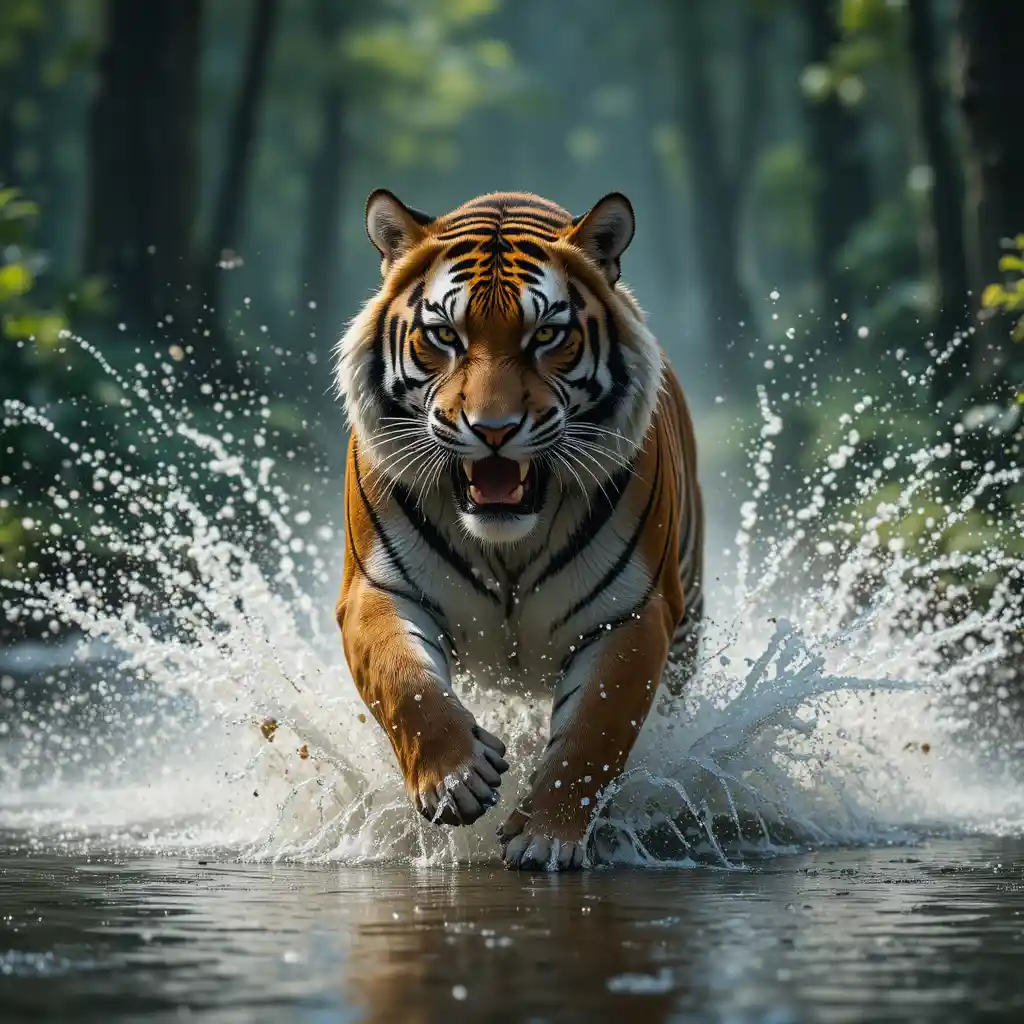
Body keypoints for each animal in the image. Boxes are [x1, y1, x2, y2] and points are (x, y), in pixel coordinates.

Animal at [334, 189, 703, 871]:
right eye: (444, 336)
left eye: (547, 335)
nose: (494, 429)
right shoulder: (377, 588)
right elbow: (406, 681)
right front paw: (456, 781)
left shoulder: (630, 611)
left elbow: (596, 729)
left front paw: (547, 838)